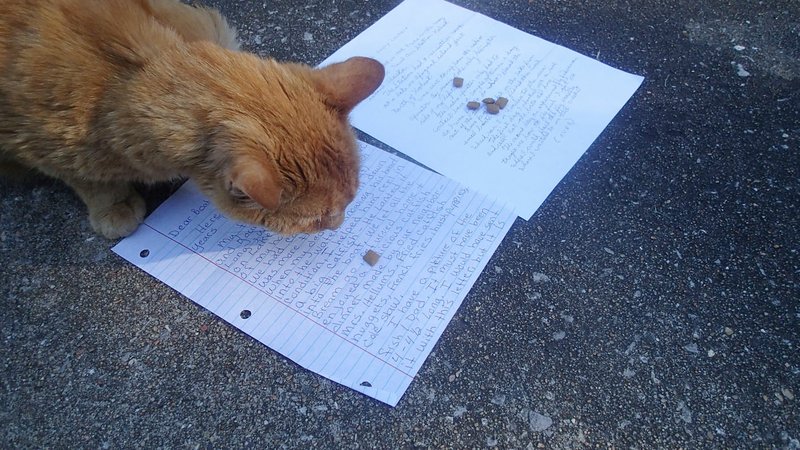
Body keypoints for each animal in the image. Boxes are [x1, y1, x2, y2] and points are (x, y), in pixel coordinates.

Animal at [0, 0, 384, 237]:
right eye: (316, 219)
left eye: (351, 201)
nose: (338, 225)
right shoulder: (44, 147)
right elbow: (92, 182)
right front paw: (114, 207)